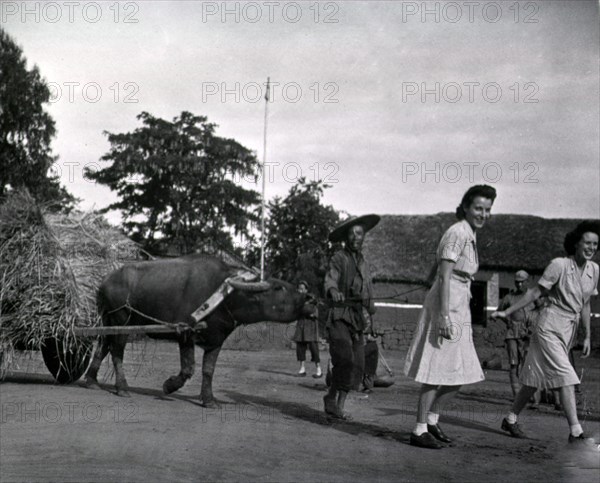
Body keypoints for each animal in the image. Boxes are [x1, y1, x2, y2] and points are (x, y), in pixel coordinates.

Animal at [85, 255, 318, 406]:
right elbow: (189, 368)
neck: (226, 297)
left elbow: (208, 370)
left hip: (109, 321)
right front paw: (169, 386)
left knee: (102, 347)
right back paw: (122, 388)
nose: (311, 299)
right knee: (116, 352)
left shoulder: (216, 339)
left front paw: (209, 399)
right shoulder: (186, 333)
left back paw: (91, 381)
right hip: (122, 321)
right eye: (279, 288)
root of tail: (104, 281)